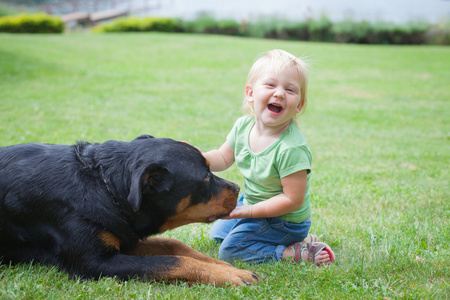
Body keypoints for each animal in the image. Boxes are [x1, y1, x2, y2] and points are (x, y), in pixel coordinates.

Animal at [0, 135, 258, 286]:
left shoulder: (125, 235)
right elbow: (172, 261)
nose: (236, 188)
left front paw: (224, 267)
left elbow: (174, 245)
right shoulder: (94, 263)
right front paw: (231, 275)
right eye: (205, 178)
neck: (102, 186)